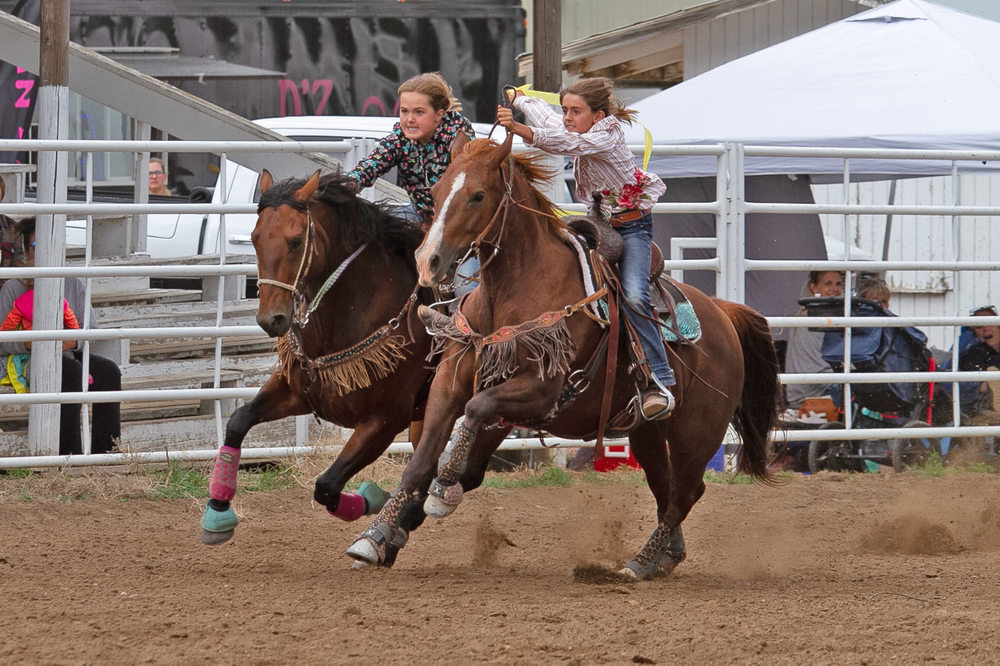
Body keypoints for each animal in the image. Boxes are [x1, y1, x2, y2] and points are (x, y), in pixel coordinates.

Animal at [348, 135, 784, 576]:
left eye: (478, 195)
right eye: (435, 192)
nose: (428, 261)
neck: (514, 290)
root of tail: (722, 312)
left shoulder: (542, 390)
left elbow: (474, 411)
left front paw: (442, 488)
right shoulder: (451, 380)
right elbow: (421, 458)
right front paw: (374, 537)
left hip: (697, 432)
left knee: (686, 493)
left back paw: (639, 563)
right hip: (646, 432)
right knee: (666, 489)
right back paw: (663, 556)